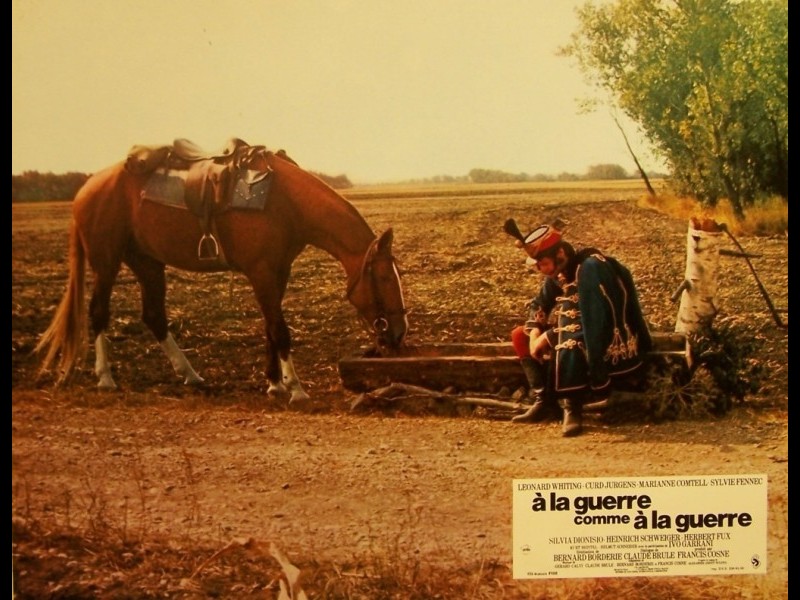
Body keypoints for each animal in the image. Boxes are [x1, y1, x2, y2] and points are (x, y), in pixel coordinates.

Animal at [32, 139, 406, 404]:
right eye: (384, 277)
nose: (399, 333)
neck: (285, 202)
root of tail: (88, 187)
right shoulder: (262, 272)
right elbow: (280, 330)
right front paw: (296, 388)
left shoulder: (277, 272)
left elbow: (270, 328)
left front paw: (274, 385)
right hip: (106, 260)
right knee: (99, 313)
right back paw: (106, 378)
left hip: (147, 262)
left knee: (154, 315)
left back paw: (191, 375)